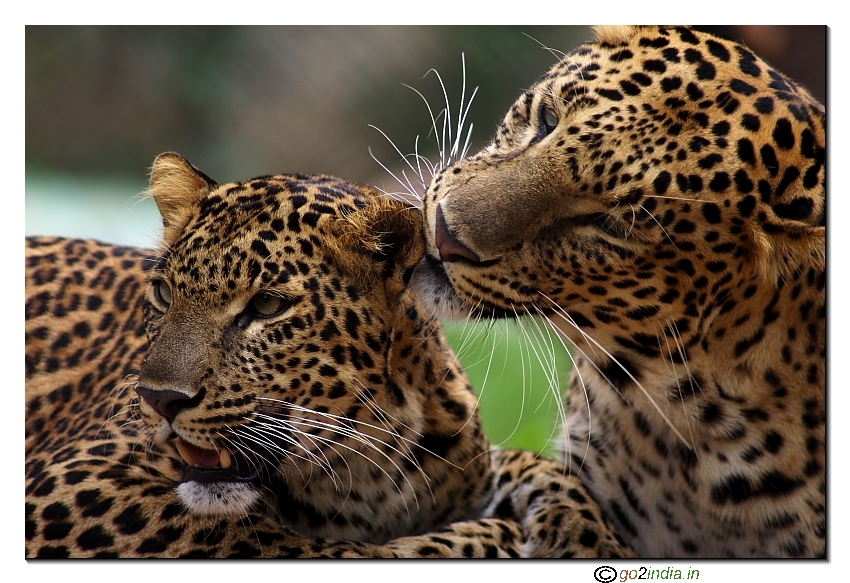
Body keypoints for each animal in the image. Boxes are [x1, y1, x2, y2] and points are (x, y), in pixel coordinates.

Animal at [25, 152, 633, 558]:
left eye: (267, 306)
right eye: (164, 294)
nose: (159, 400)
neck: (360, 472)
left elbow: (534, 465)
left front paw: (581, 532)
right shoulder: (78, 484)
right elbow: (326, 550)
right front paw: (495, 536)